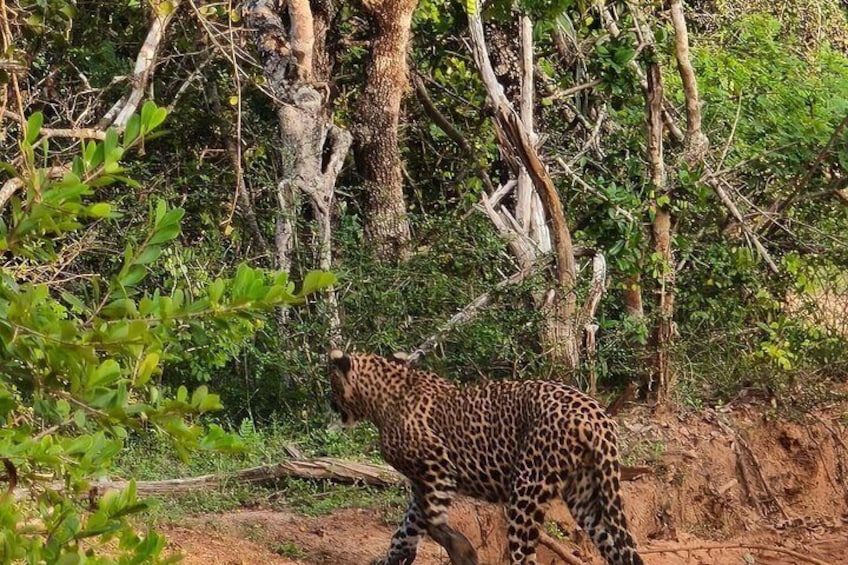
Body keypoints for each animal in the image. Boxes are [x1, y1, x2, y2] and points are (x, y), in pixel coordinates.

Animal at [328, 349, 644, 565]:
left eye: (331, 383)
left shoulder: (438, 468)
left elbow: (432, 521)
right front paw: (393, 558)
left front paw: (463, 551)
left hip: (526, 491)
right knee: (620, 547)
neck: (379, 401)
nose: (330, 405)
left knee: (524, 555)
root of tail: (597, 414)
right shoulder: (421, 483)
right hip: (586, 493)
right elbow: (407, 529)